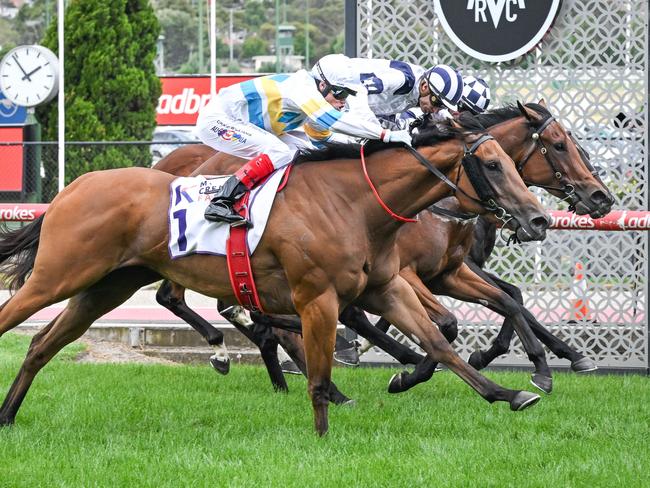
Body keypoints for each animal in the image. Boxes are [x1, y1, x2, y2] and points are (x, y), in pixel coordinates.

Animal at [0, 119, 548, 434]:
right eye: (493, 165)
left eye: (513, 161)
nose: (539, 218)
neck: (354, 203)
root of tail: (71, 189)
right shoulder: (317, 298)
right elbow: (320, 377)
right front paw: (323, 438)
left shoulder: (386, 288)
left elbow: (439, 344)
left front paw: (509, 393)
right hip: (56, 277)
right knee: (15, 320)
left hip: (104, 288)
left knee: (41, 345)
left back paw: (7, 416)